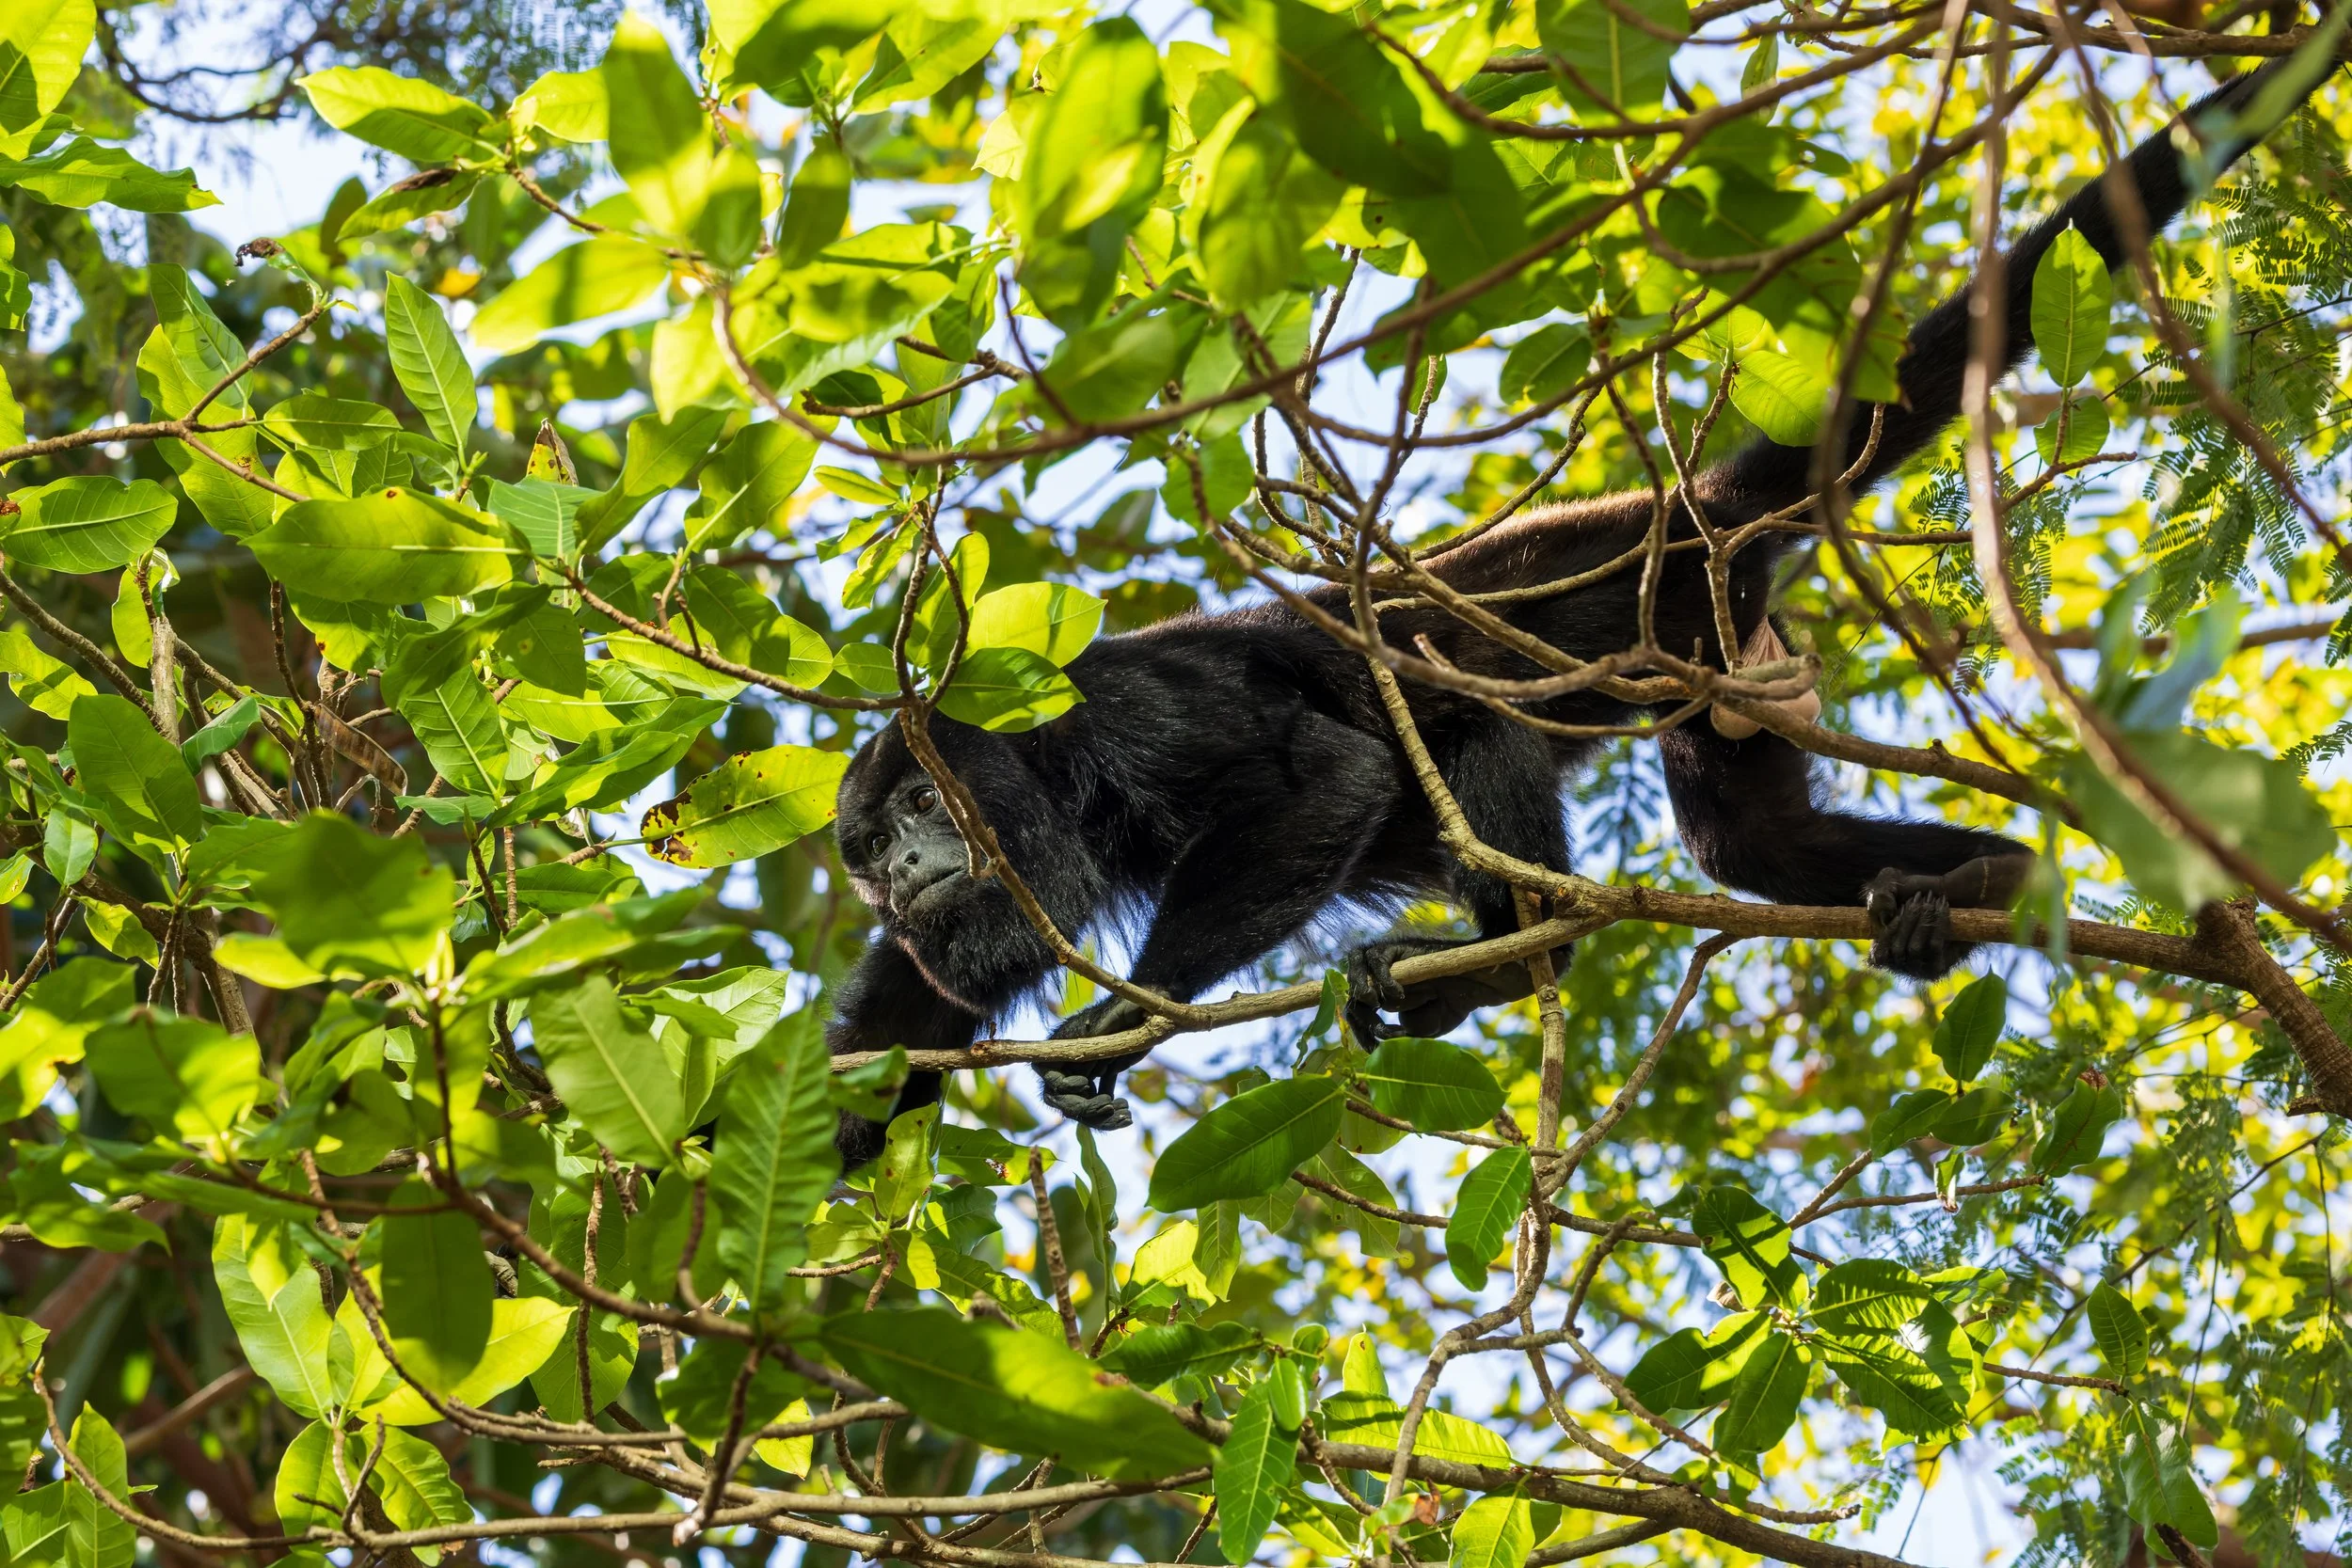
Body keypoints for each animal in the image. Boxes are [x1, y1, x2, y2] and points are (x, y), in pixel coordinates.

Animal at [825, 62, 2315, 1165]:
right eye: (864, 850)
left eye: (919, 807)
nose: (905, 866)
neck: (1030, 768)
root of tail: (1685, 505)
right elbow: (917, 994)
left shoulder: (1126, 716)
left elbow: (1329, 770)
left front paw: (1125, 1020)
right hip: (1732, 656)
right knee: (1752, 841)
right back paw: (1985, 882)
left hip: (1675, 613)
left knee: (1473, 727)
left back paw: (1503, 961)